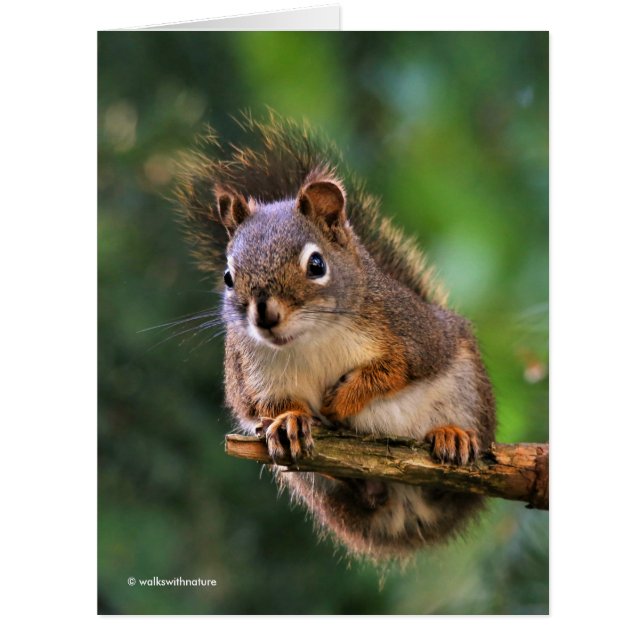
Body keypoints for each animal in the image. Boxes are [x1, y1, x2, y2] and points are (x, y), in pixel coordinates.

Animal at [176, 112, 497, 560]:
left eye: (316, 264)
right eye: (228, 277)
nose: (265, 315)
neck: (309, 340)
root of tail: (409, 515)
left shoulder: (412, 333)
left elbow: (395, 370)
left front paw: (343, 399)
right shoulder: (248, 375)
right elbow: (261, 405)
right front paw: (289, 421)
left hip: (467, 388)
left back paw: (452, 437)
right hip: (313, 484)